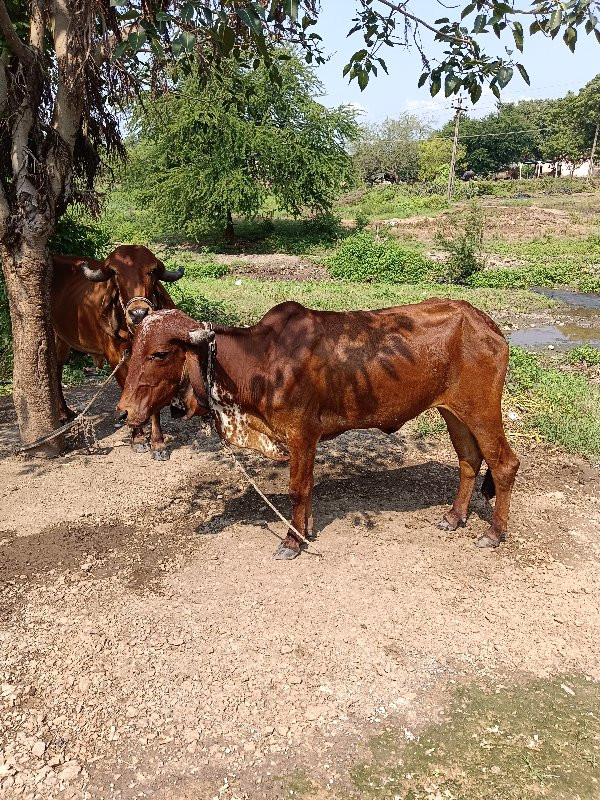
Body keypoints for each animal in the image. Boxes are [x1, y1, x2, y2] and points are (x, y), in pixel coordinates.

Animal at [50, 244, 184, 460]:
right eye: (116, 273)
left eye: (151, 271)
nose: (138, 313)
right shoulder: (115, 359)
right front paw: (138, 438)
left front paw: (158, 443)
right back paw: (62, 413)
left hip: (63, 340)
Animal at [117, 300, 520, 556]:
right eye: (133, 350)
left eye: (159, 354)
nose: (124, 412)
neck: (260, 361)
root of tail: (486, 322)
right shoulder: (303, 440)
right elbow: (307, 487)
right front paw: (305, 530)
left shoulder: (301, 434)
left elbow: (298, 489)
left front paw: (292, 542)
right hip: (454, 412)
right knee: (469, 460)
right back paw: (453, 517)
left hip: (481, 410)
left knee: (504, 464)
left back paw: (493, 533)